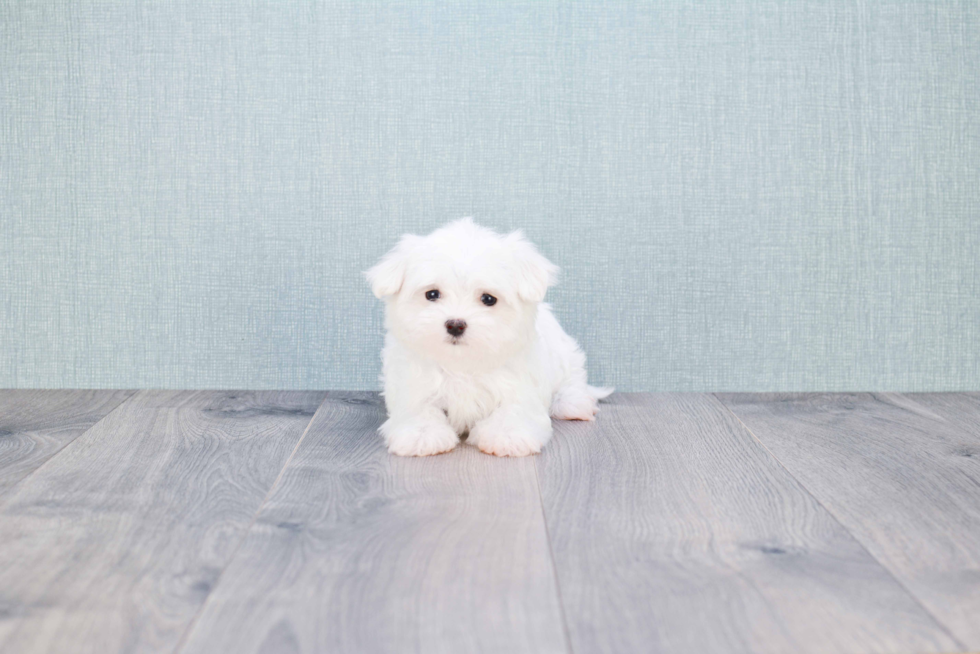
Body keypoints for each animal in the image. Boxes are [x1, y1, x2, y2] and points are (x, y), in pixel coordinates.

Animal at [366, 218, 612, 458]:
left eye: (488, 299)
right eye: (432, 294)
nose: (455, 324)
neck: (462, 363)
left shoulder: (520, 384)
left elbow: (513, 409)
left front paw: (507, 435)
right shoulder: (412, 382)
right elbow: (418, 408)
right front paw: (422, 434)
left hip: (564, 353)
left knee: (573, 379)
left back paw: (574, 404)